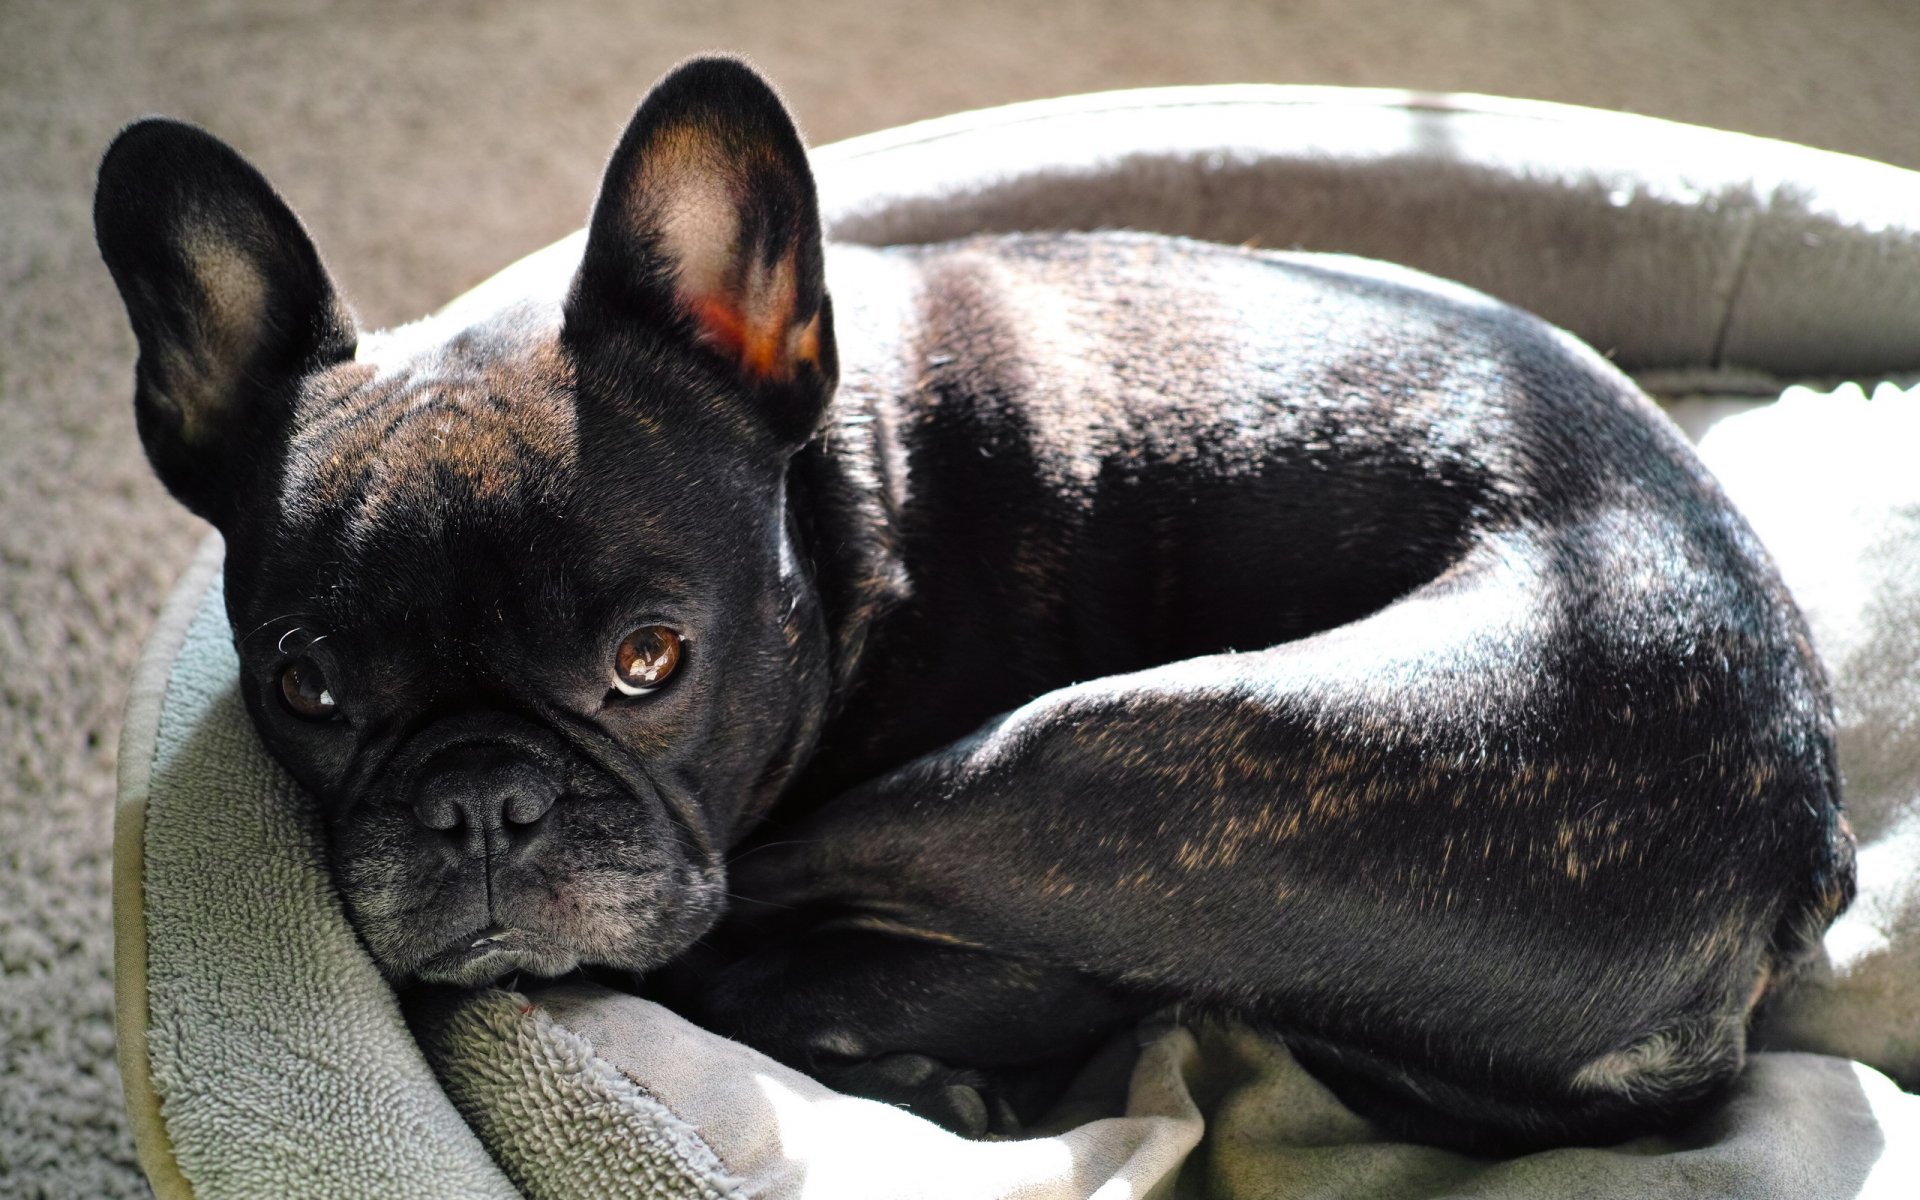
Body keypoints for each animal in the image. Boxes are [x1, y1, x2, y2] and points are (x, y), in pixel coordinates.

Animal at [97, 58, 1850, 1152]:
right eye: (306, 690)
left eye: (651, 662)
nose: (478, 802)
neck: (837, 502)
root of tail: (1802, 853)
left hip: (1089, 762)